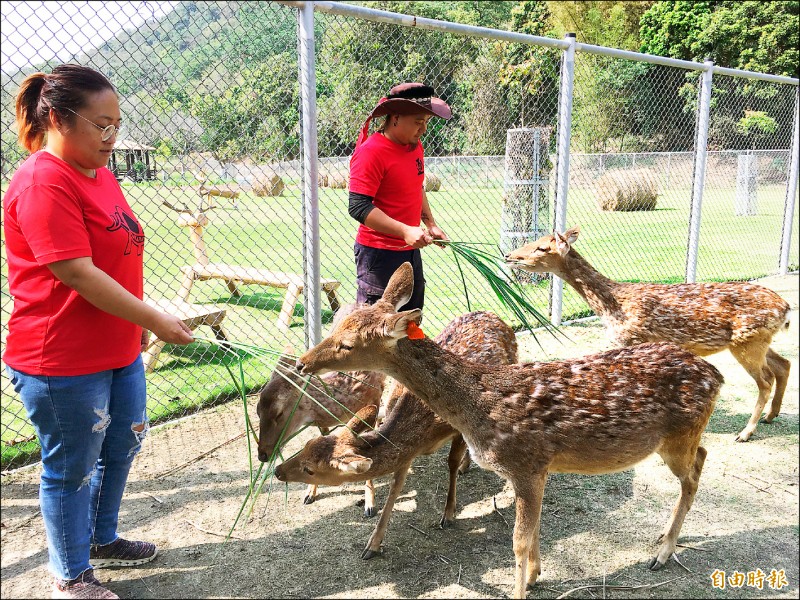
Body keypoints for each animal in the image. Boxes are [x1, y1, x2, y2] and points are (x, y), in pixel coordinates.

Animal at [258, 346, 386, 516]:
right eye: (257, 412)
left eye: (278, 413)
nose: (262, 455)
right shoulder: (321, 424)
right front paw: (309, 493)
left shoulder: (373, 399)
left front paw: (370, 504)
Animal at [276, 312, 516, 560]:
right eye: (307, 443)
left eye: (310, 470)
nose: (277, 471)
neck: (426, 433)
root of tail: (492, 315)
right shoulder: (407, 452)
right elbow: (395, 486)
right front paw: (372, 545)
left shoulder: (456, 430)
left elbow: (450, 463)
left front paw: (448, 514)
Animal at [504, 227, 792, 442]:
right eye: (535, 240)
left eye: (542, 248)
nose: (508, 255)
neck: (613, 306)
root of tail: (786, 308)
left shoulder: (634, 338)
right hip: (758, 340)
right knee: (784, 364)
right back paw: (771, 416)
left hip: (747, 342)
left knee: (765, 380)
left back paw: (745, 432)